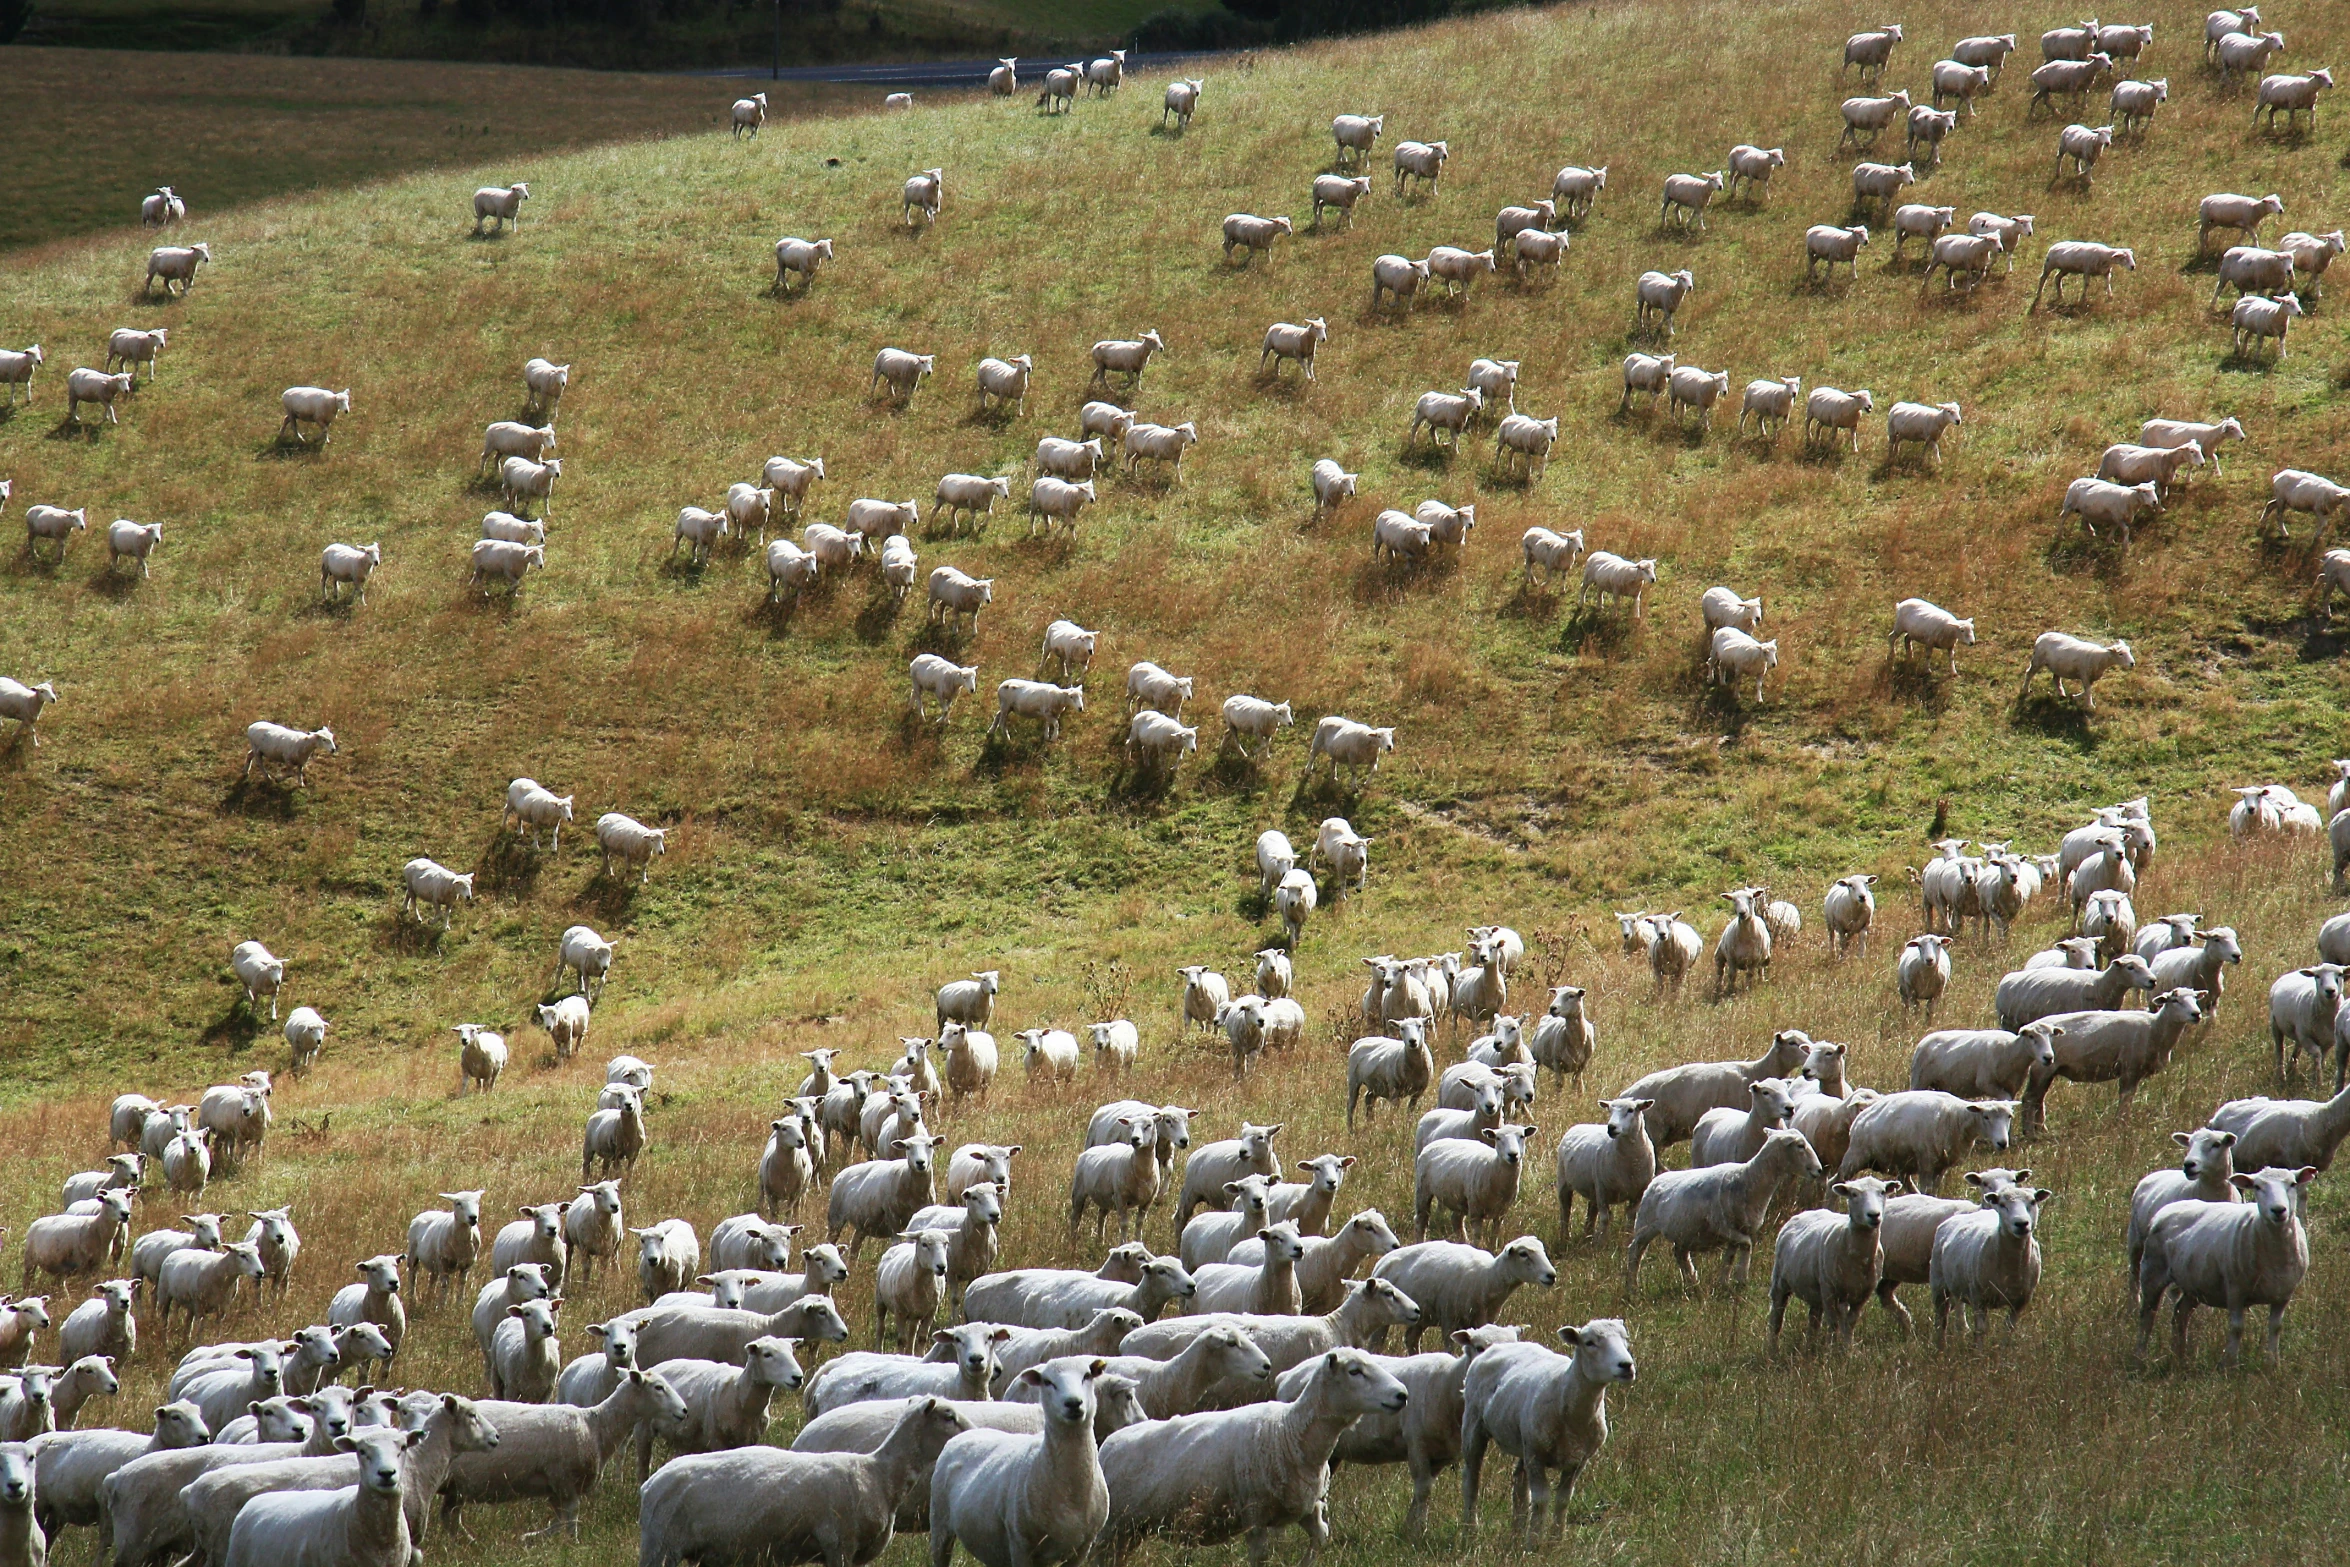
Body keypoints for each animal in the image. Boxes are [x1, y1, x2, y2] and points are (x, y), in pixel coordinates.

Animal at [1447, 1315, 1635, 1550]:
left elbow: (1563, 1500)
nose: (1627, 1365)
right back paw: (1470, 1532)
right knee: (1471, 1479)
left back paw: (1516, 1534)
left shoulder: (1578, 1461)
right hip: (1474, 1425)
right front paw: (1534, 1544)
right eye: (1589, 1342)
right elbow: (1541, 1500)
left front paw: (1556, 1541)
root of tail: (1499, 1346)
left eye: (1625, 1338)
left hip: (1523, 1441)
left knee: (1519, 1483)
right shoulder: (1536, 1456)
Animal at [1626, 1132, 1823, 1296]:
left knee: (1680, 1254)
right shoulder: (1722, 1226)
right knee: (1635, 1251)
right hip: (1645, 1225)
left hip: (1684, 1231)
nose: (1819, 1170)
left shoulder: (1738, 1231)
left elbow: (1730, 1257)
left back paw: (1692, 1283)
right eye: (1800, 1146)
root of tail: (1655, 1181)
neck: (1749, 1180)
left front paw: (1724, 1282)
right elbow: (1747, 1245)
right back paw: (1632, 1287)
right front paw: (1741, 1277)